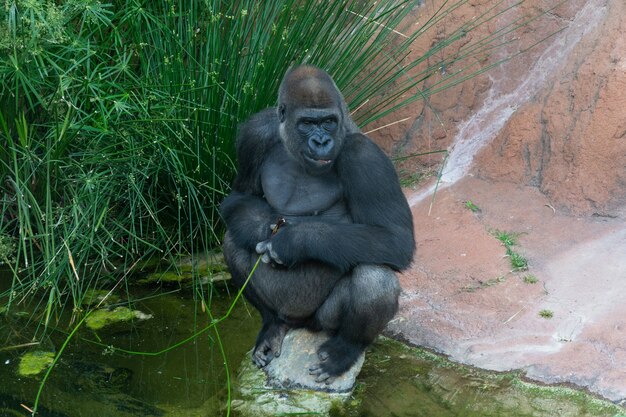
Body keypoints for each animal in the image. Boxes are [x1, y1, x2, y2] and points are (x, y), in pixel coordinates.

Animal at [219, 64, 414, 380]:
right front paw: (263, 227)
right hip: (286, 315)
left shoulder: (365, 156)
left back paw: (344, 350)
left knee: (374, 274)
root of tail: (296, 323)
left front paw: (292, 241)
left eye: (329, 122)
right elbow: (241, 197)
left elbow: (394, 237)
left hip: (318, 322)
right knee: (233, 239)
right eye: (308, 122)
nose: (322, 141)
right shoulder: (256, 132)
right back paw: (271, 325)